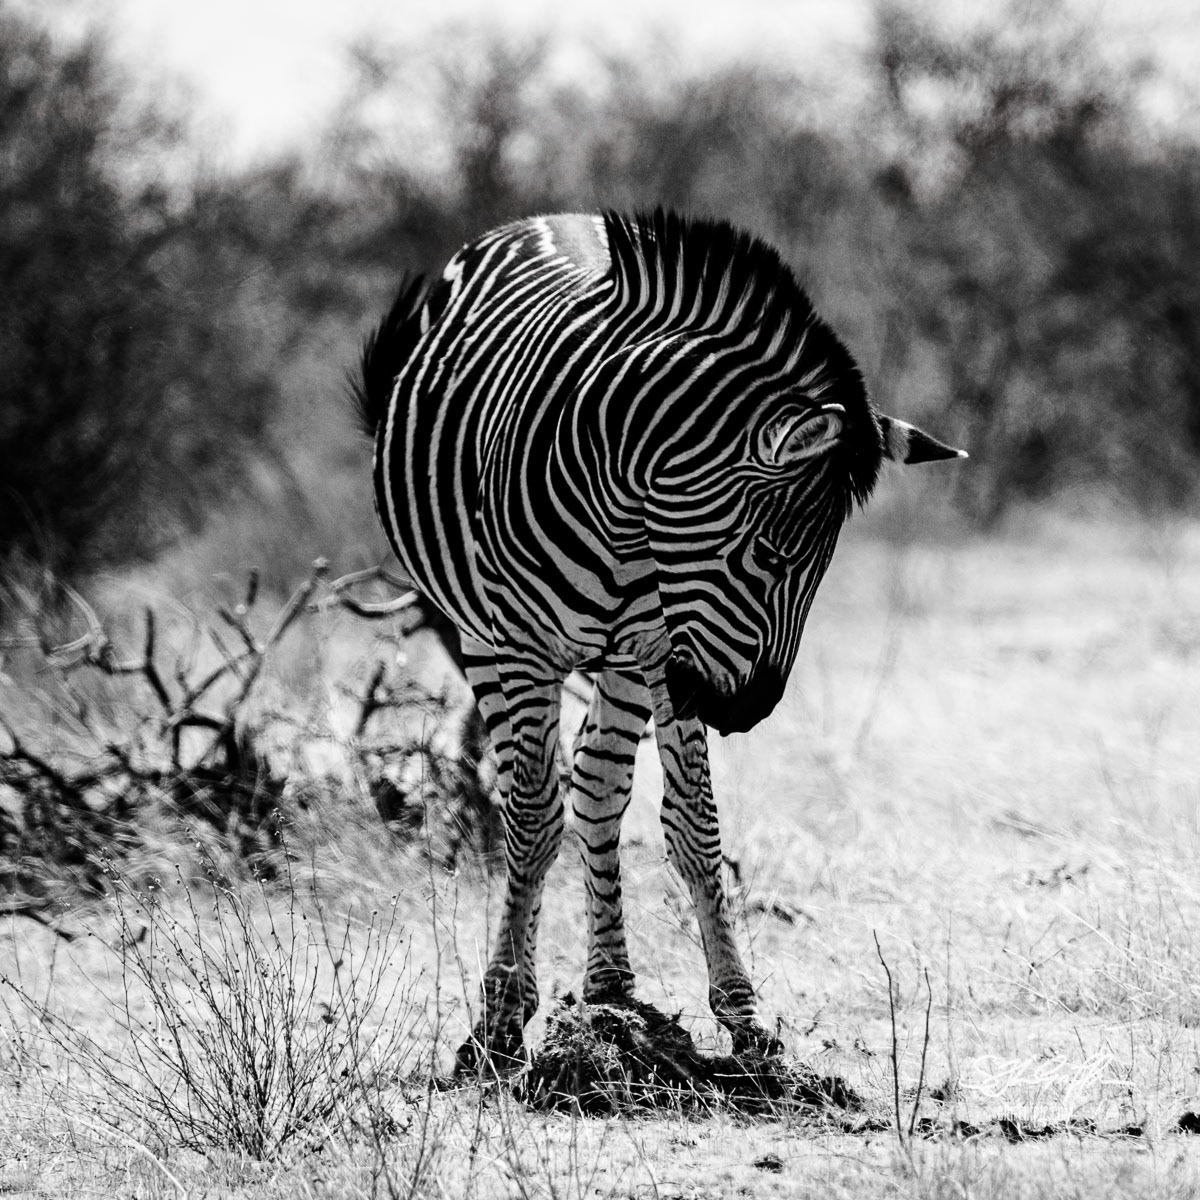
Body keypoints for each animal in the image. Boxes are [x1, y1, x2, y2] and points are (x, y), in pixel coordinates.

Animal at [354, 209, 964, 1071]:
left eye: (821, 571)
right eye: (771, 556)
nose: (748, 710)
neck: (621, 485)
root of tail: (536, 218)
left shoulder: (665, 647)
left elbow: (691, 822)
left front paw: (743, 1016)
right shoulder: (530, 645)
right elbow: (532, 819)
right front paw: (500, 1021)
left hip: (620, 660)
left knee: (599, 789)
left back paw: (611, 989)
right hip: (480, 635)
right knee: (529, 796)